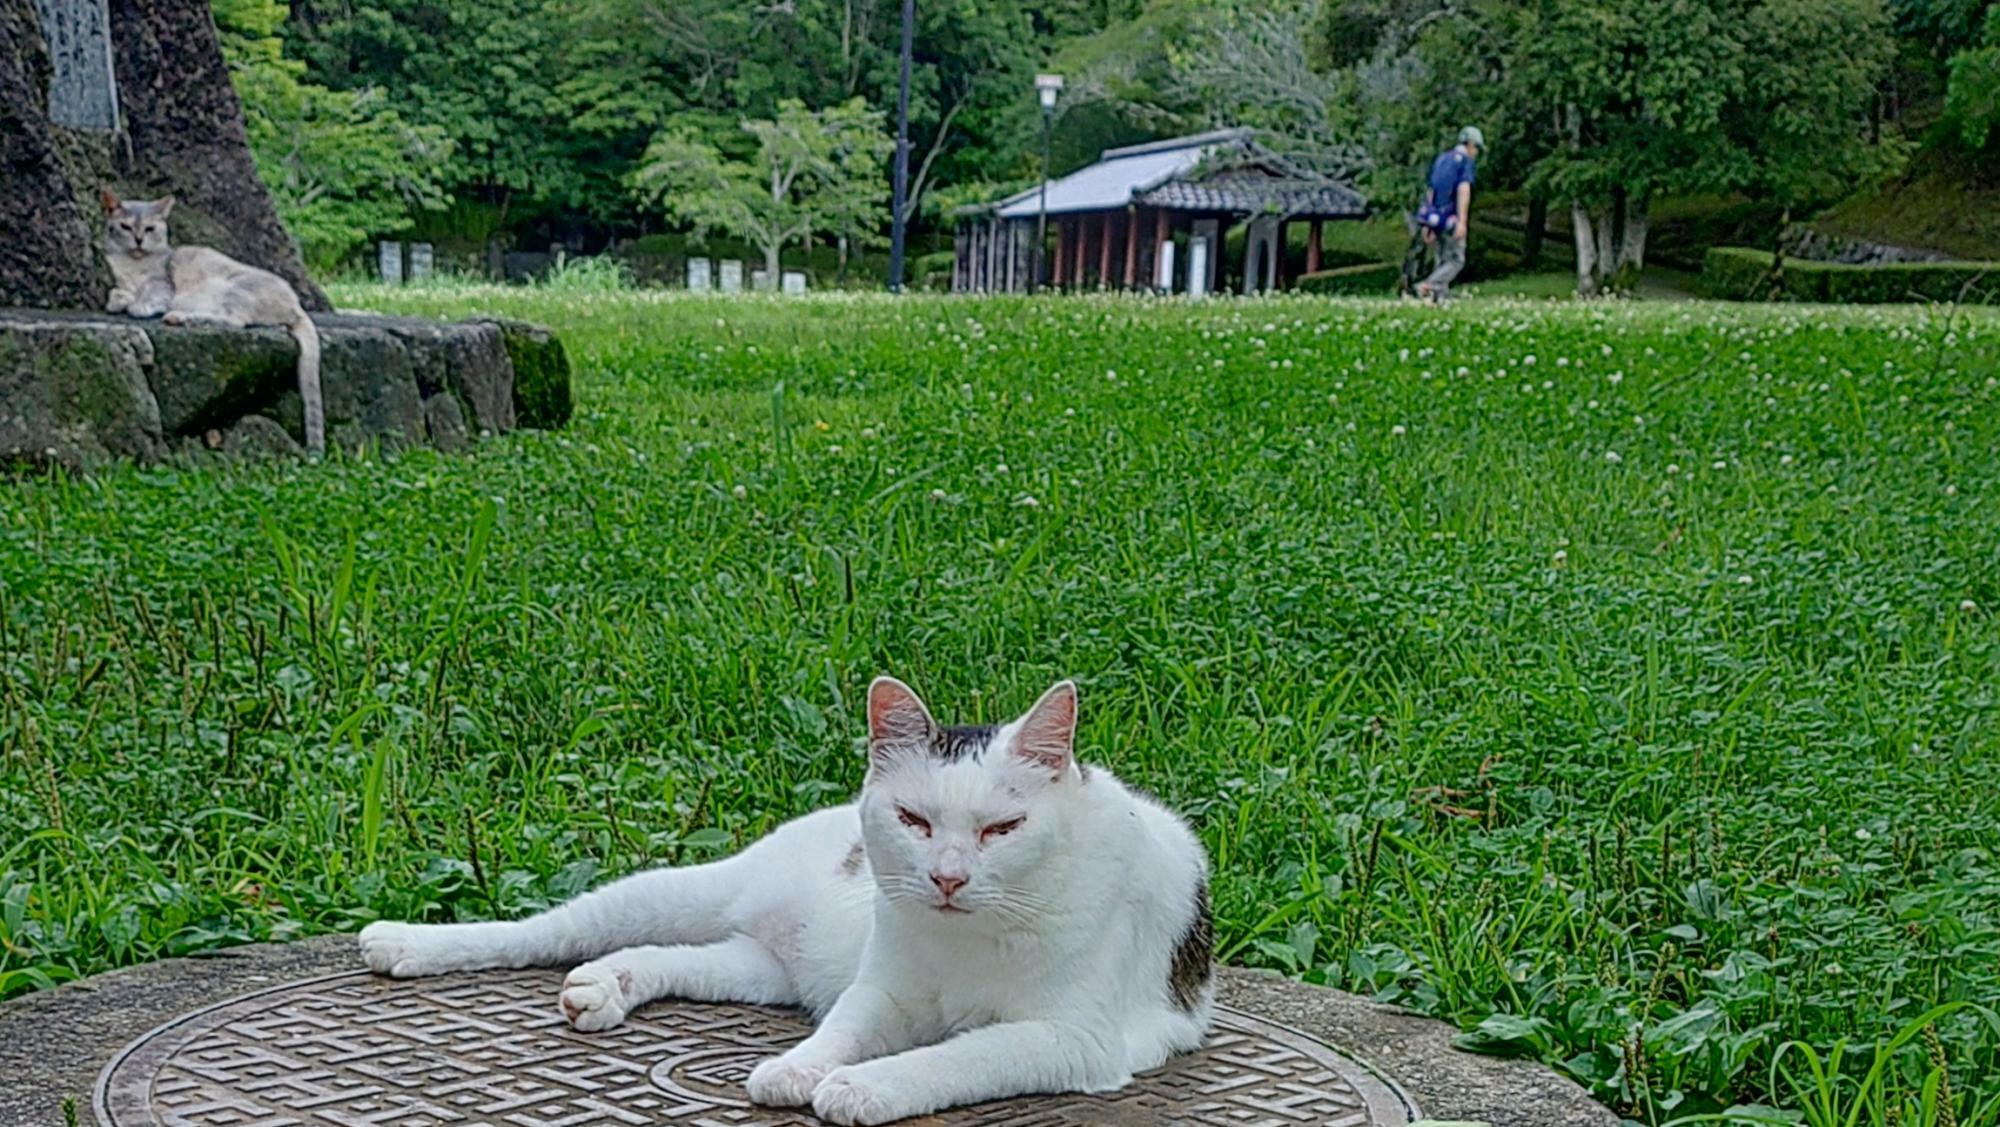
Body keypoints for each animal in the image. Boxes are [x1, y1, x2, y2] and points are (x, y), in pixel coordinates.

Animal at [102, 191, 324, 455]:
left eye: (149, 228)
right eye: (125, 227)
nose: (137, 240)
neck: (132, 266)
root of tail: (297, 306)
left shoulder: (164, 286)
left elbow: (147, 295)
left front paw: (137, 305)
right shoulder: (122, 285)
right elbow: (117, 294)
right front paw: (118, 301)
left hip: (231, 288)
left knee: (235, 322)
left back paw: (180, 317)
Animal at [356, 679, 1216, 1127]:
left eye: (1003, 828)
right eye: (914, 820)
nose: (945, 877)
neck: (970, 937)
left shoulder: (1070, 1039)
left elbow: (955, 1055)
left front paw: (865, 1086)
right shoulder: (884, 989)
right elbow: (844, 1032)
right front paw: (799, 1069)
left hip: (754, 968)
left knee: (668, 958)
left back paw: (609, 985)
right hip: (669, 892)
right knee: (539, 930)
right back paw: (406, 941)